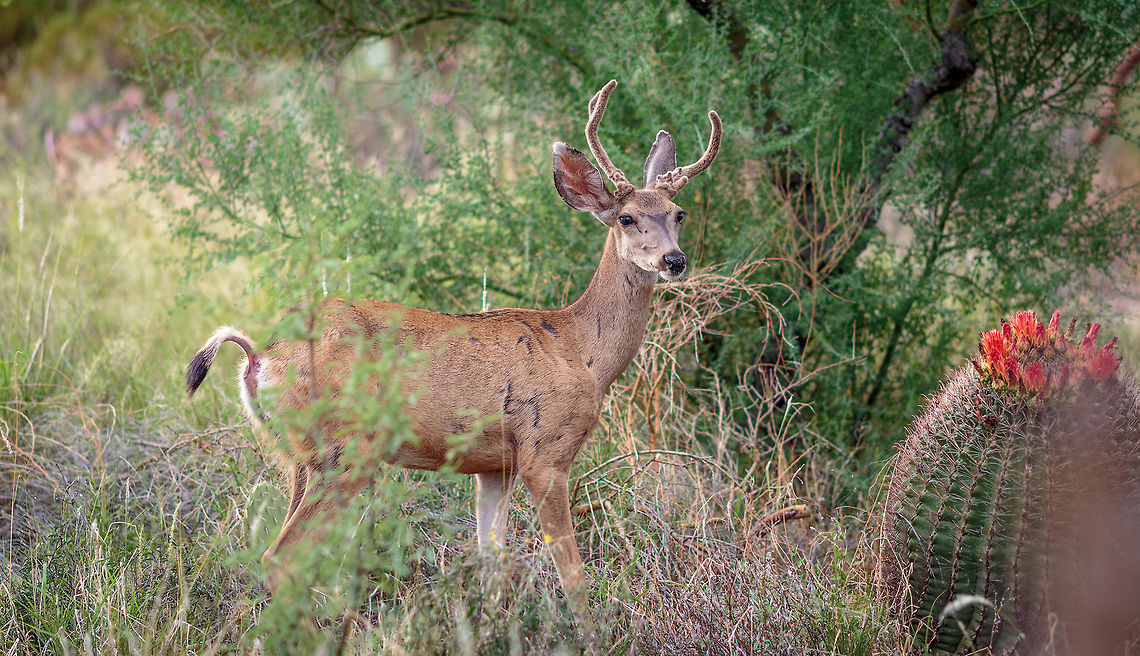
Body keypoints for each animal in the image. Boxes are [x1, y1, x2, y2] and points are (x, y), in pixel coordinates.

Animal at [185, 80, 722, 596]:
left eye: (678, 213)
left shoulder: (495, 466)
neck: (582, 351)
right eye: (627, 217)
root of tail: (259, 358)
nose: (675, 260)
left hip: (298, 456)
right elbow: (573, 576)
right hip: (347, 448)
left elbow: (492, 563)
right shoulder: (546, 450)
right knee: (281, 557)